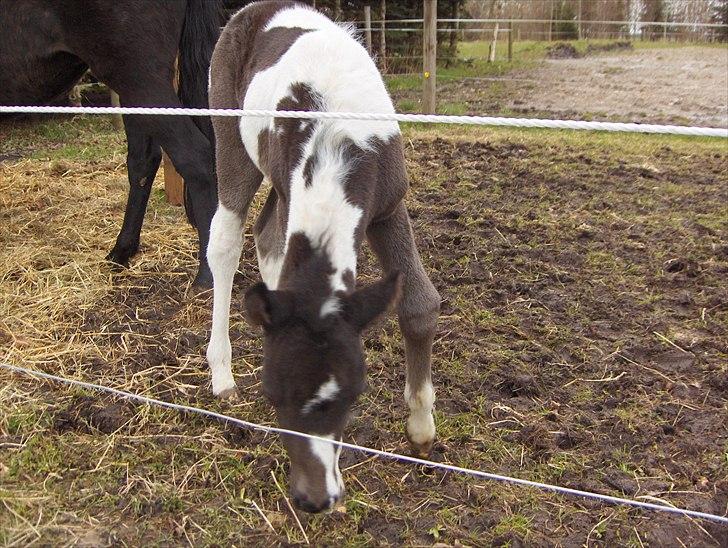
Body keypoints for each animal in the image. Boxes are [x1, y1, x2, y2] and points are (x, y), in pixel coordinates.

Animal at [208, 2, 440, 512]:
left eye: (353, 395)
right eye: (272, 397)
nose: (315, 498)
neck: (338, 136)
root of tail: (256, 9)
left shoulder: (387, 207)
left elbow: (419, 305)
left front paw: (421, 430)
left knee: (266, 234)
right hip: (230, 138)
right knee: (226, 240)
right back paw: (221, 373)